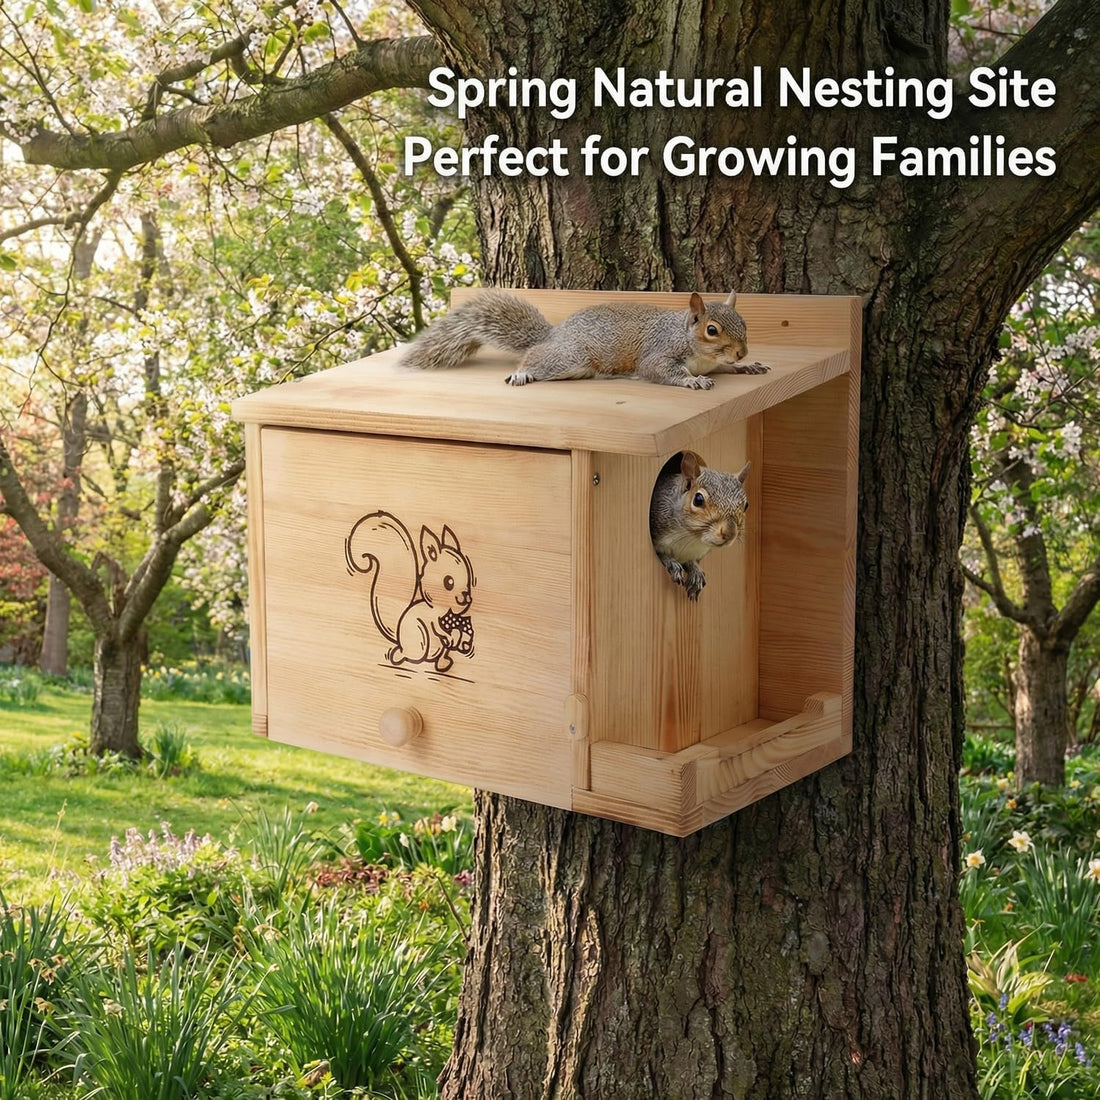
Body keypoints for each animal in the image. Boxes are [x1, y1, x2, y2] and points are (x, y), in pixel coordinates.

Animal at [344, 511, 475, 674]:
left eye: (468, 581)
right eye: (448, 582)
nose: (466, 599)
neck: (441, 609)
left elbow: (454, 632)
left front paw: (456, 637)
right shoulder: (432, 618)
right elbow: (437, 628)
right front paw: (448, 635)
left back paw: (442, 663)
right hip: (420, 638)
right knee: (407, 653)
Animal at [401, 290, 769, 390]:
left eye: (743, 323)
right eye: (712, 330)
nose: (741, 352)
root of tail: (555, 333)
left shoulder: (716, 364)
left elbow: (726, 370)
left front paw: (748, 367)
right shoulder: (660, 352)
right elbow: (658, 370)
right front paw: (692, 381)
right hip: (571, 357)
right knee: (535, 355)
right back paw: (522, 372)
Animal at [649, 450, 751, 600]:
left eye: (746, 505)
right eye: (698, 499)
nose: (729, 533)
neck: (691, 538)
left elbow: (691, 562)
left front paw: (695, 571)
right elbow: (660, 554)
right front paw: (671, 562)